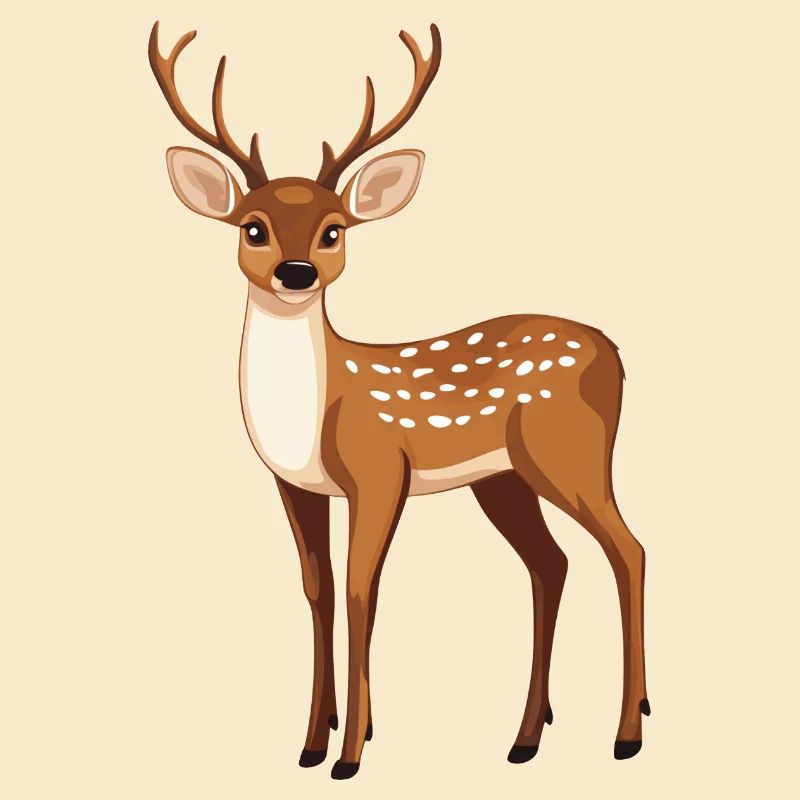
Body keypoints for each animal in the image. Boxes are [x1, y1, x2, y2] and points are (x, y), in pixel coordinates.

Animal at [148, 20, 649, 780]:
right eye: (252, 226)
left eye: (334, 229)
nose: (297, 272)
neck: (314, 412)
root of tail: (615, 352)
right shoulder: (294, 485)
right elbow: (319, 590)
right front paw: (311, 742)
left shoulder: (380, 470)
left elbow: (362, 591)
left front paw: (351, 753)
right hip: (503, 478)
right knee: (551, 563)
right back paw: (525, 738)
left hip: (568, 453)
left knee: (628, 550)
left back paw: (627, 733)